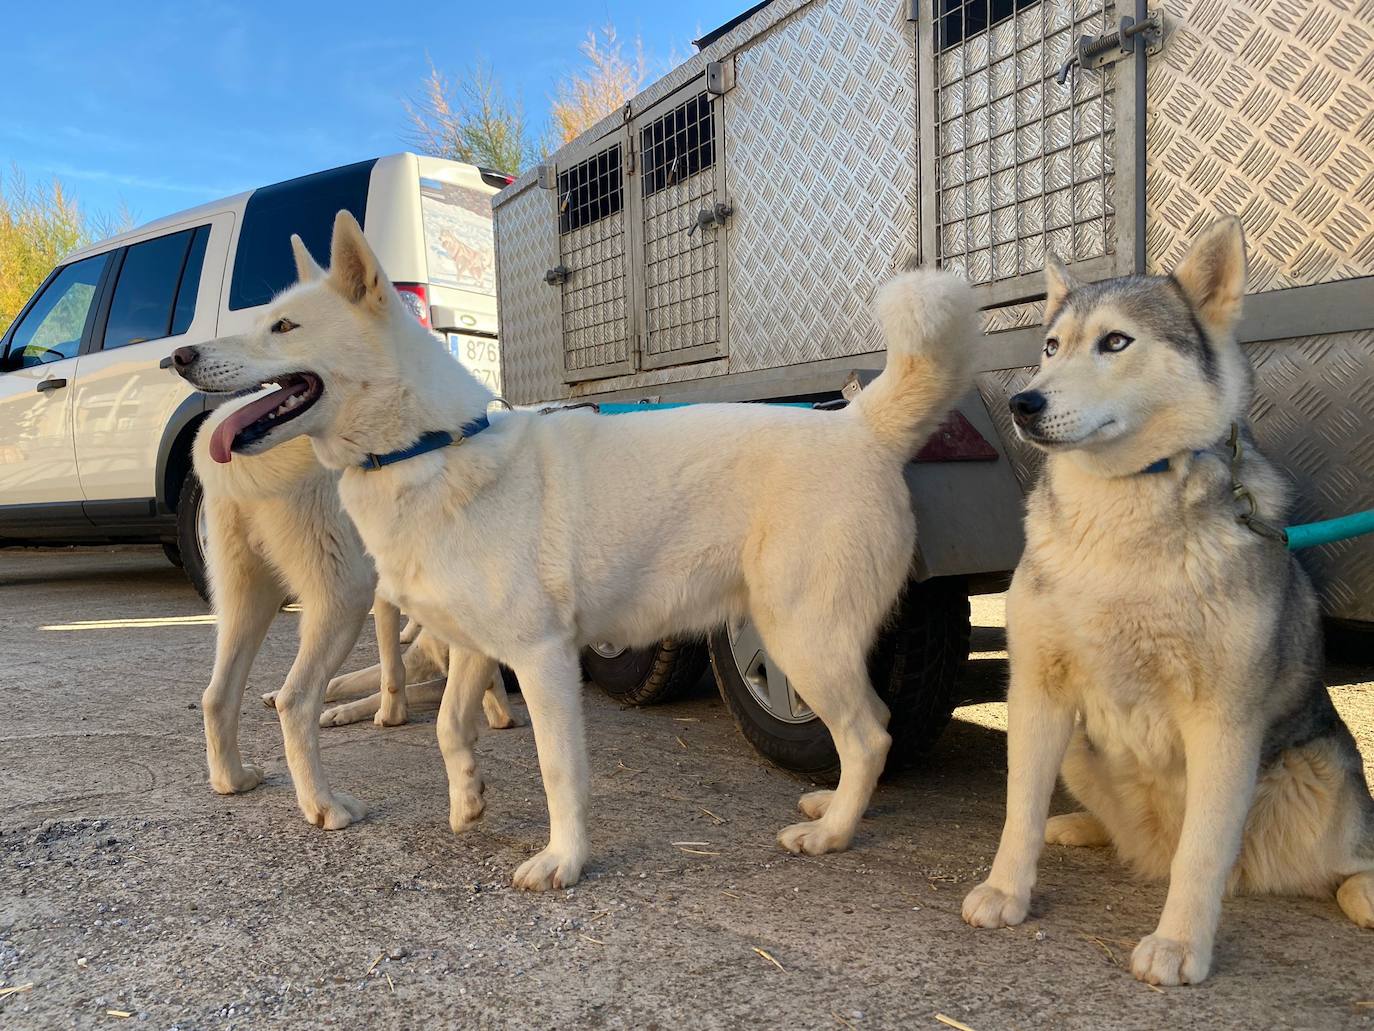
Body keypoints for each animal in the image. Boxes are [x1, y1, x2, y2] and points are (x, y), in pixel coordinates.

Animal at [177, 214, 978, 890]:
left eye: (283, 326)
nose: (181, 356)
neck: (430, 447)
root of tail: (859, 426)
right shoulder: (474, 648)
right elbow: (448, 727)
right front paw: (467, 801)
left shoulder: (541, 658)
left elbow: (558, 770)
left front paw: (563, 861)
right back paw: (831, 806)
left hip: (801, 642)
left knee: (869, 734)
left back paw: (833, 833)